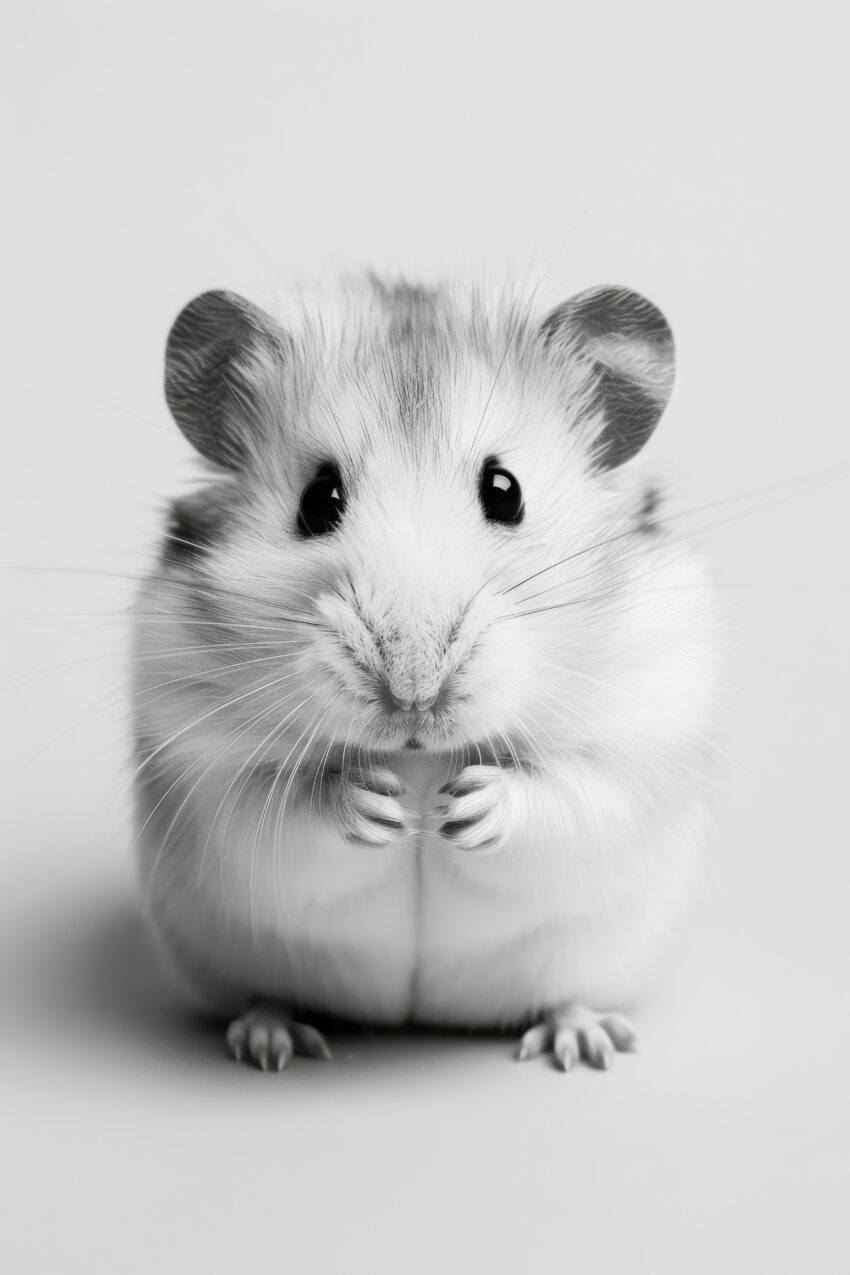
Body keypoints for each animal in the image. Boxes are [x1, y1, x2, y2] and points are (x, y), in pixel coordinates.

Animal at [132, 276, 717, 1072]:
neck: (416, 757)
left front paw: (462, 806)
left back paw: (583, 1041)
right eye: (318, 499)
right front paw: (380, 807)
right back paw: (269, 1040)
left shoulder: (640, 733)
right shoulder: (200, 762)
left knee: (568, 992)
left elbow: (573, 795)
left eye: (505, 490)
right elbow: (276, 810)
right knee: (263, 992)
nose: (411, 692)